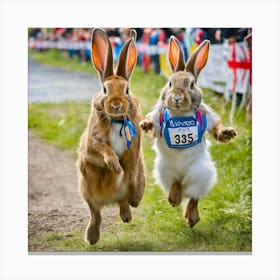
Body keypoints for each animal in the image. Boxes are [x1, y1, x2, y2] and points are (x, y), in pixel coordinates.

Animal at [76, 29, 147, 245]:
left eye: (127, 89)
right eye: (105, 89)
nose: (116, 105)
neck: (116, 121)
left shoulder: (134, 152)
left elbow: (129, 171)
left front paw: (133, 198)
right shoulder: (90, 149)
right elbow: (104, 149)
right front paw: (115, 166)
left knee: (123, 198)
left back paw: (128, 213)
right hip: (86, 190)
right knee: (95, 213)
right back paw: (92, 237)